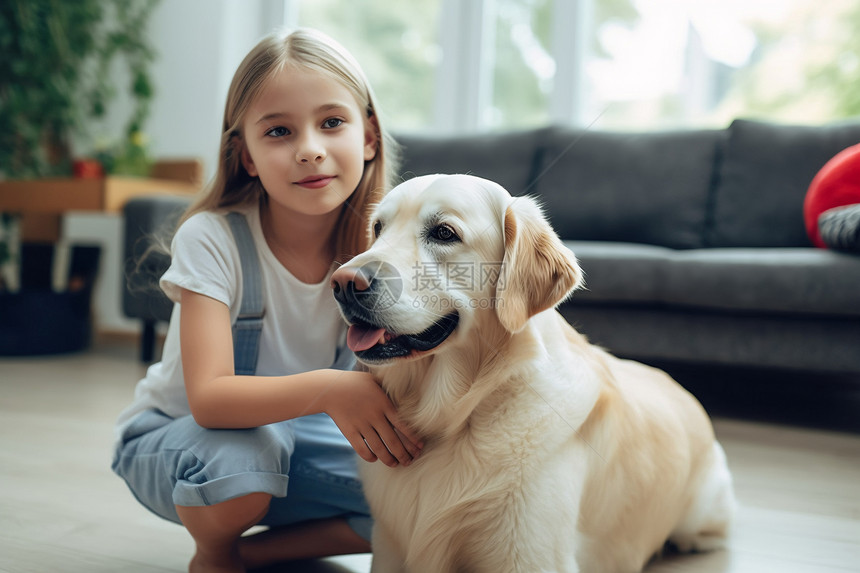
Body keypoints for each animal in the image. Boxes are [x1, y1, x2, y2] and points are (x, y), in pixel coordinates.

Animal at [330, 174, 732, 572]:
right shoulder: (389, 546)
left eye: (444, 233)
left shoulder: (530, 555)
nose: (344, 283)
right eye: (378, 228)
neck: (457, 418)